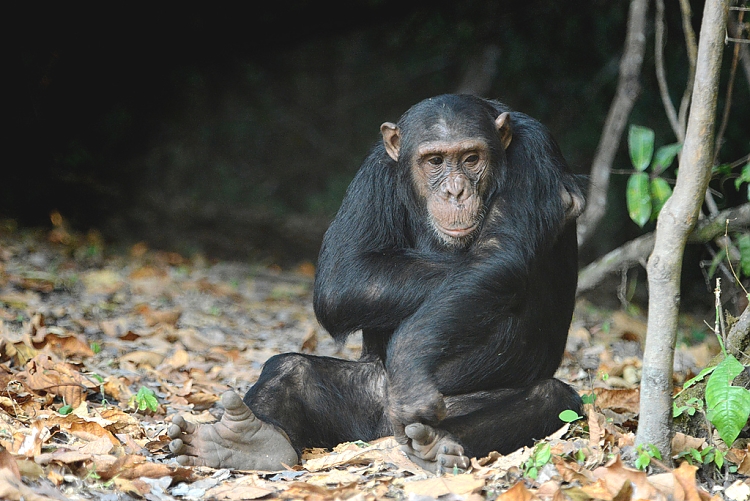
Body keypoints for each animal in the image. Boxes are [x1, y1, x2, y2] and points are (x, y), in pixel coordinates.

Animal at [170, 94, 588, 472]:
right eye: (435, 161)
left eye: (472, 158)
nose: (455, 190)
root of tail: (382, 434)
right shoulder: (372, 171)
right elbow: (345, 277)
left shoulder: (535, 152)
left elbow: (497, 256)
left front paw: (411, 365)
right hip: (366, 399)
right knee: (292, 368)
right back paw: (246, 440)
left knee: (549, 398)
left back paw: (439, 446)